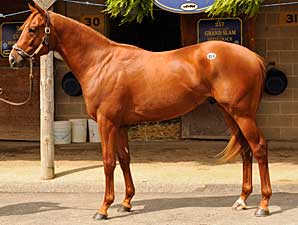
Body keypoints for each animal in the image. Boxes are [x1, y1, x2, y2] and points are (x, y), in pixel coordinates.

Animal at [8, 3, 272, 220]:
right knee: (246, 150)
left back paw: (263, 204)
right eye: (22, 27)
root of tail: (253, 57)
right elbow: (125, 159)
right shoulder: (121, 125)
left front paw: (103, 208)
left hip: (242, 114)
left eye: (32, 29)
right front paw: (126, 202)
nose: (13, 59)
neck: (101, 63)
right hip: (230, 114)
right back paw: (242, 200)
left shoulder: (106, 123)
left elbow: (108, 162)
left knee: (258, 148)